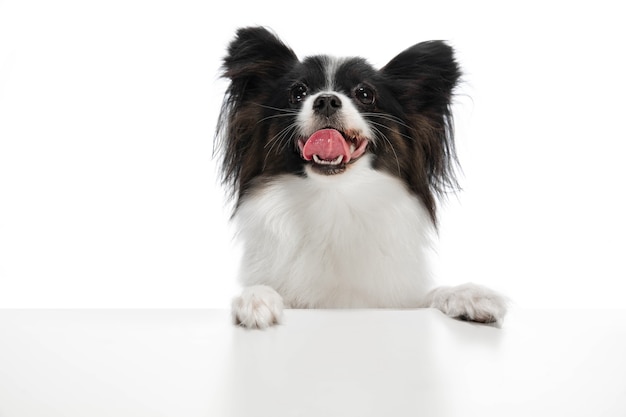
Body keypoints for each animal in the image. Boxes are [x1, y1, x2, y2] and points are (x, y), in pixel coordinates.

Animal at [214, 27, 508, 330]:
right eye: (298, 92)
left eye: (364, 93)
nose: (326, 99)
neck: (333, 199)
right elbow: (266, 290)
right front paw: (255, 298)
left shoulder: (397, 298)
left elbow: (433, 294)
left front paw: (468, 295)